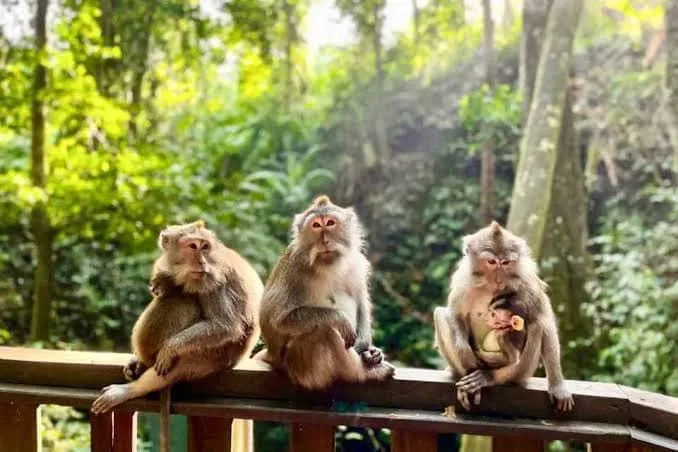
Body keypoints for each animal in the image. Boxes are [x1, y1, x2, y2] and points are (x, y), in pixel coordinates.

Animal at [91, 220, 264, 447]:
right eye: (192, 246)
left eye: (204, 247)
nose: (201, 261)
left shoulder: (215, 278)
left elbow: (225, 325)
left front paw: (170, 347)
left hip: (212, 357)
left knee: (182, 302)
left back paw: (132, 388)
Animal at [255, 195, 395, 390]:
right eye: (315, 225)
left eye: (330, 223)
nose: (325, 241)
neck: (328, 265)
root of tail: (272, 356)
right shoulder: (294, 269)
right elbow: (277, 319)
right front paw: (340, 319)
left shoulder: (357, 263)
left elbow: (362, 304)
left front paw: (367, 349)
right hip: (300, 366)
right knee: (325, 331)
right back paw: (364, 372)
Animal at [433, 221, 574, 412]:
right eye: (492, 262)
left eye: (506, 262)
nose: (499, 278)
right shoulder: (463, 281)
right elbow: (455, 314)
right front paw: (464, 351)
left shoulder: (527, 280)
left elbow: (545, 321)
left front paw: (558, 387)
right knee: (440, 314)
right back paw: (467, 373)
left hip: (522, 371)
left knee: (537, 325)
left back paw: (488, 377)